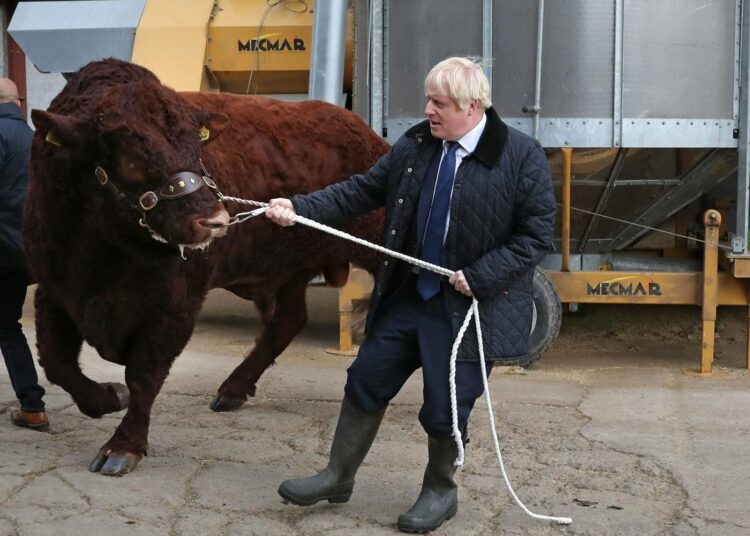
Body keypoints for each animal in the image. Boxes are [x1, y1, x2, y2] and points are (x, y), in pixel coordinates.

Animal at [23, 58, 388, 476]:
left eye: (197, 148)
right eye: (130, 158)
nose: (214, 220)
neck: (103, 254)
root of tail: (362, 131)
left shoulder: (175, 304)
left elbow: (144, 374)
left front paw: (122, 446)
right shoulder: (54, 290)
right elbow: (56, 363)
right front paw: (107, 397)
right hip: (285, 272)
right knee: (286, 322)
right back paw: (232, 389)